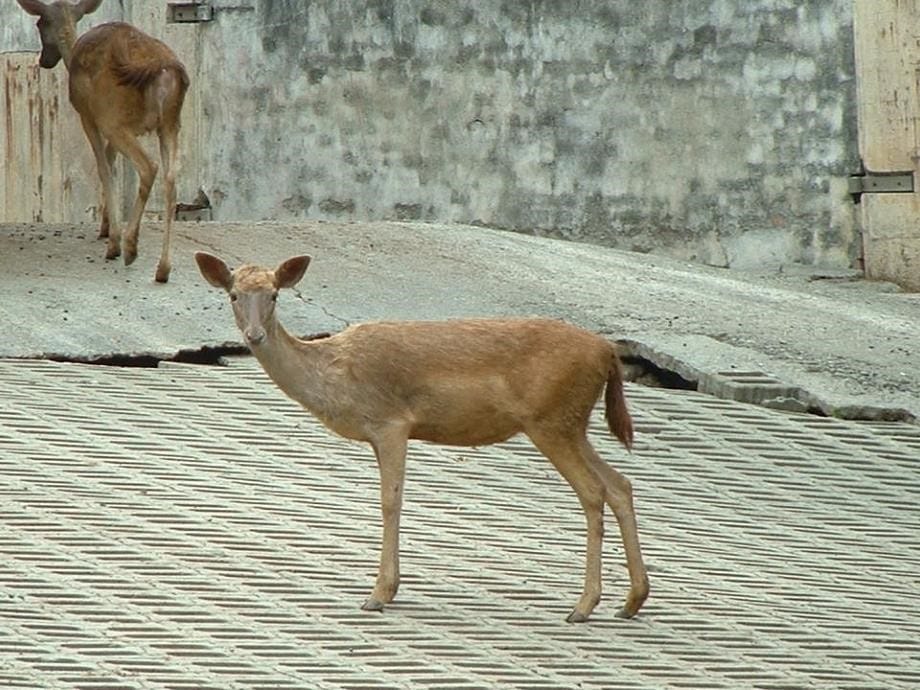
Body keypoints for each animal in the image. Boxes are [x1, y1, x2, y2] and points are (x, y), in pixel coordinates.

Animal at [17, 0, 188, 282]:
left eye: (40, 23)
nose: (44, 61)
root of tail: (163, 72)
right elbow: (111, 161)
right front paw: (106, 226)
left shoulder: (89, 115)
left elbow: (103, 167)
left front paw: (112, 239)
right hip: (170, 124)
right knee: (171, 179)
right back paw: (163, 269)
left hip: (116, 117)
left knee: (148, 167)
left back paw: (128, 247)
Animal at [198, 249, 652, 624]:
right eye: (234, 295)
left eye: (275, 294)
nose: (254, 335)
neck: (335, 377)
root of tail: (608, 352)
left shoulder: (392, 422)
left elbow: (390, 501)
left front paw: (380, 593)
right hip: (572, 424)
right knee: (620, 484)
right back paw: (631, 601)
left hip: (551, 419)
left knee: (593, 491)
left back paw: (584, 605)